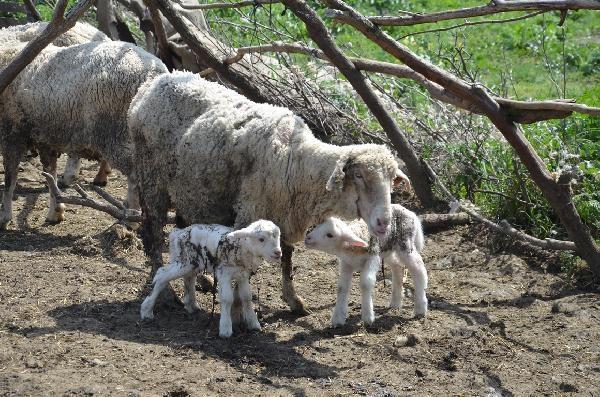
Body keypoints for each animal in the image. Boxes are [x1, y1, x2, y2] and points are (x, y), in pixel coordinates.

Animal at [0, 40, 169, 229]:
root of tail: (155, 71)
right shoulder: (45, 138)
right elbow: (50, 174)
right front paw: (56, 212)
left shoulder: (12, 132)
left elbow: (10, 178)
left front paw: (4, 216)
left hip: (115, 134)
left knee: (134, 176)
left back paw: (131, 218)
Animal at [128, 70, 410, 312]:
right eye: (359, 175)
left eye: (391, 181)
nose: (384, 222)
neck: (297, 163)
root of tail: (152, 84)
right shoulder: (251, 212)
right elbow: (245, 265)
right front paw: (241, 310)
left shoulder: (284, 214)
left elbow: (287, 259)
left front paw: (293, 299)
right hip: (152, 178)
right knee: (152, 233)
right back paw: (165, 291)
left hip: (191, 189)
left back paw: (201, 281)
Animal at [141, 220, 284, 338]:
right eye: (261, 239)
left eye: (278, 237)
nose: (278, 253)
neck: (242, 247)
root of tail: (177, 233)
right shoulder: (224, 273)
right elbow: (227, 298)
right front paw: (225, 329)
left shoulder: (243, 275)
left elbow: (246, 297)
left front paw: (253, 324)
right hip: (184, 262)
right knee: (161, 275)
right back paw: (146, 310)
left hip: (191, 263)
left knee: (188, 278)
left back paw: (191, 305)